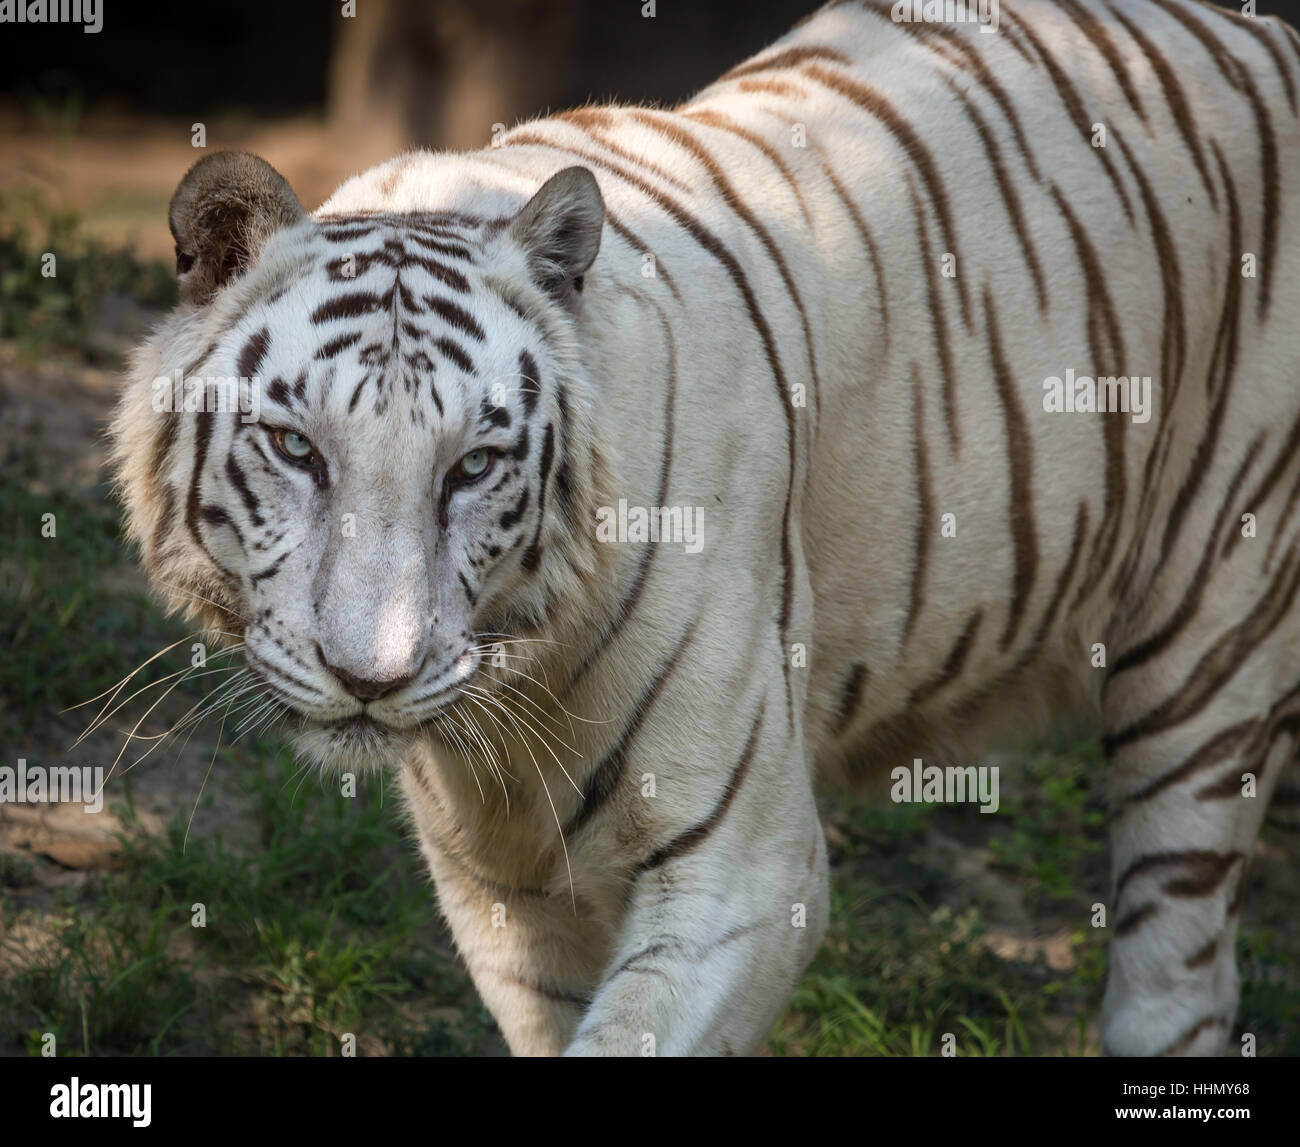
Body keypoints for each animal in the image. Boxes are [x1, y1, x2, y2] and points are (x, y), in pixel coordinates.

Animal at [110, 0, 1300, 1056]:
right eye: (296, 447)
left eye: (474, 466)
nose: (372, 679)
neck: (521, 692)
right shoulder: (502, 891)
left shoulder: (746, 868)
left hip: (1207, 648)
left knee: (1179, 973)